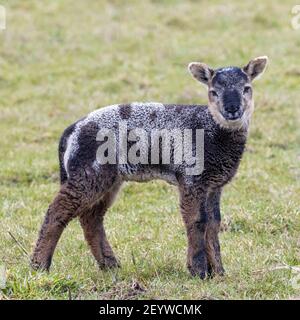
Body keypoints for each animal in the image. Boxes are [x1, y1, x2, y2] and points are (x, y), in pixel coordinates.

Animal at [31, 56, 268, 278]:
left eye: (247, 88)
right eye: (213, 92)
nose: (232, 109)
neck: (212, 132)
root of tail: (69, 133)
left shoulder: (214, 184)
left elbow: (213, 223)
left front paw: (218, 272)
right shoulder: (191, 177)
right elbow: (197, 221)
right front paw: (199, 271)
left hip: (109, 178)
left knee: (91, 218)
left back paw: (111, 265)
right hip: (89, 171)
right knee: (58, 210)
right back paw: (39, 266)